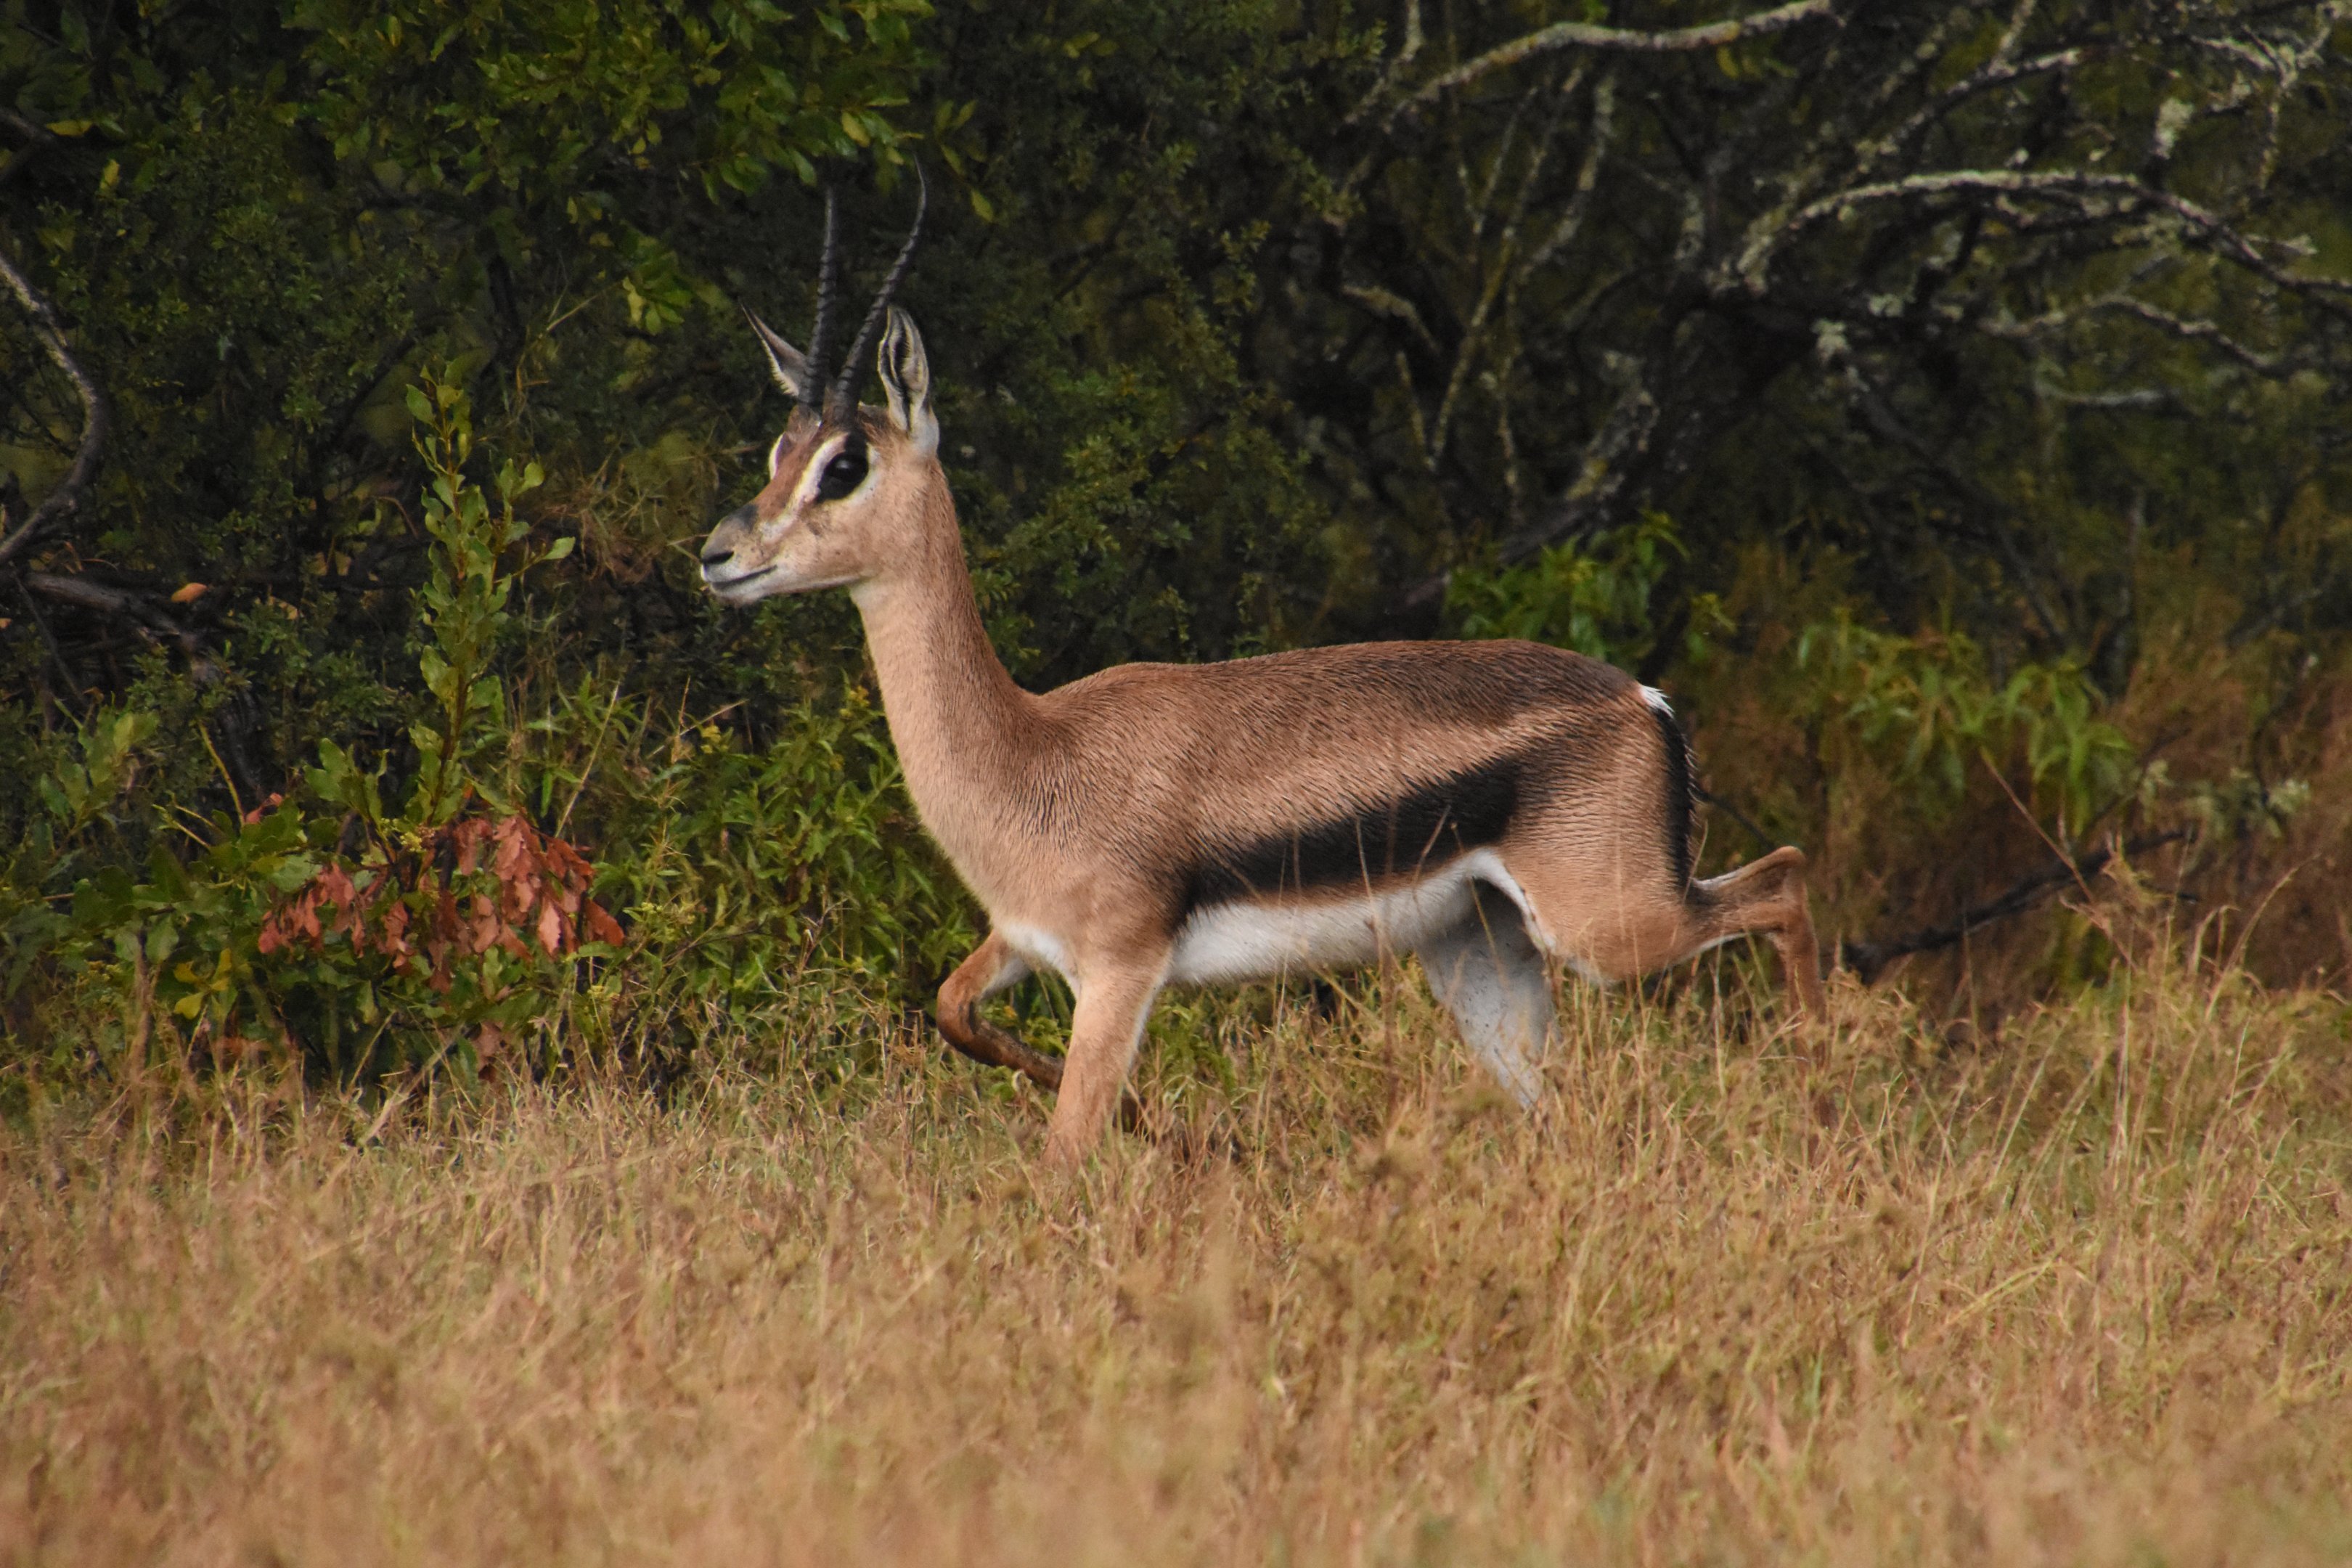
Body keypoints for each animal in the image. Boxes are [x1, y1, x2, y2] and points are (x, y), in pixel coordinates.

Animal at [699, 183, 1826, 1167]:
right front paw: (1188, 1132)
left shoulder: (1121, 971)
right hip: (1483, 955)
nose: (718, 555)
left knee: (1784, 880)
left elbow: (1064, 1159)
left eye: (845, 465)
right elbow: (953, 1015)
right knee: (1570, 1110)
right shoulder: (1021, 943)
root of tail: (1644, 699)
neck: (1033, 754)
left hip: (1611, 928)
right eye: (779, 448)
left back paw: (1827, 1094)